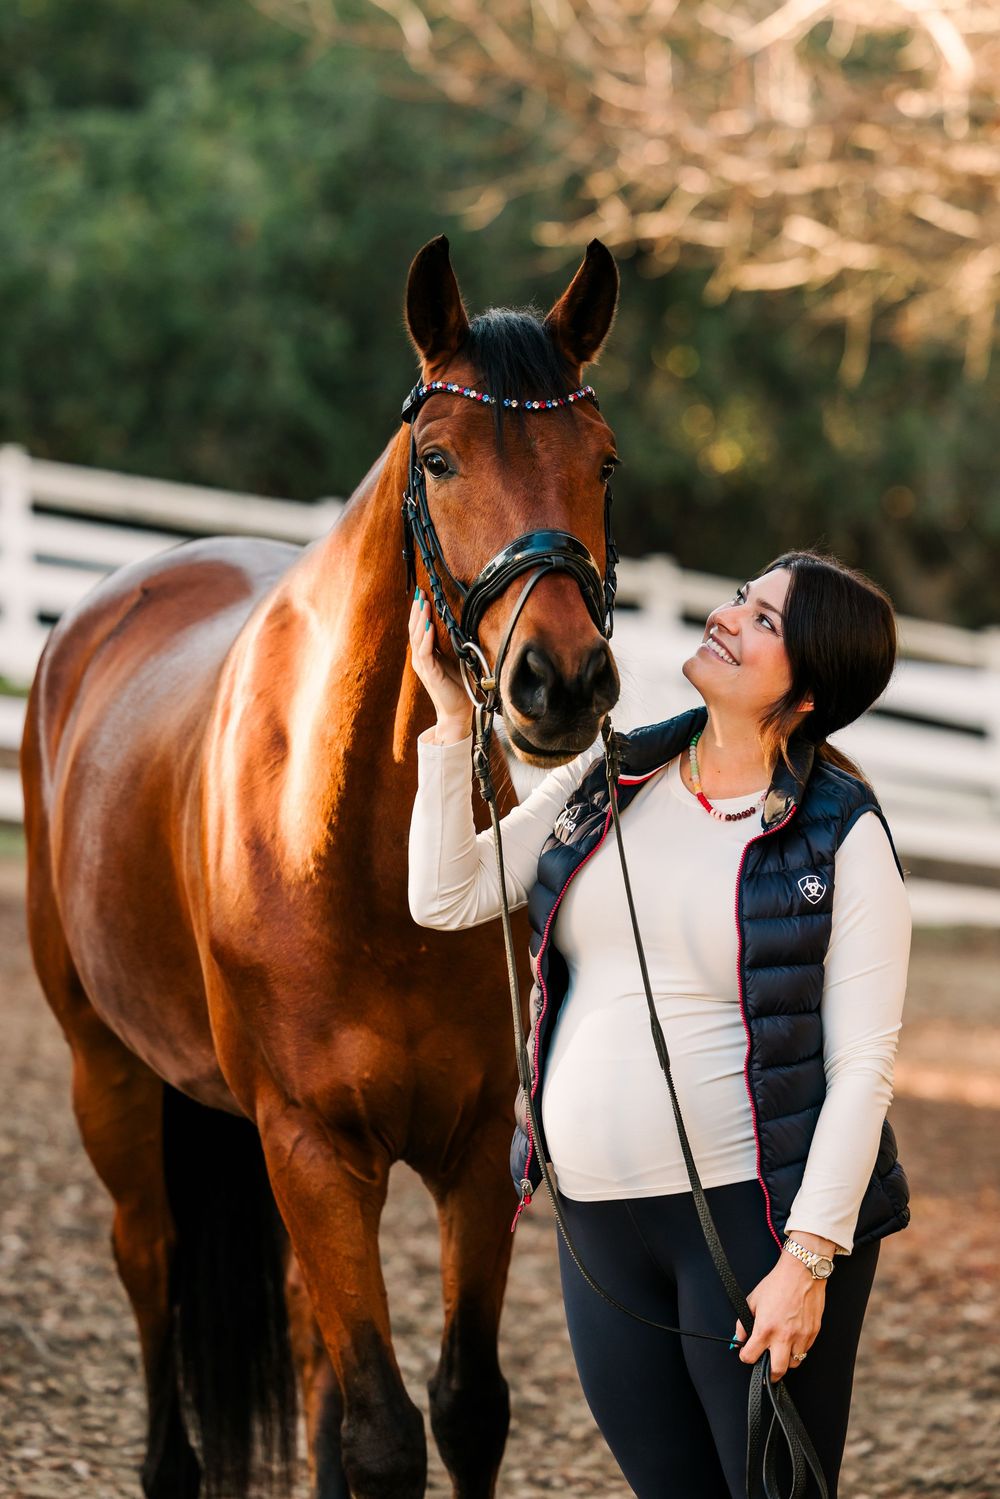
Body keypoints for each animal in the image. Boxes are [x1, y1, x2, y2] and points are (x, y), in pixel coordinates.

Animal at [20, 233, 622, 1499]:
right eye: (437, 459)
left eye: (602, 464)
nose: (561, 681)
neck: (356, 855)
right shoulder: (309, 1146)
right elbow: (387, 1431)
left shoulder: (474, 1148)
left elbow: (463, 1406)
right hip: (109, 1075)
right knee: (149, 1258)